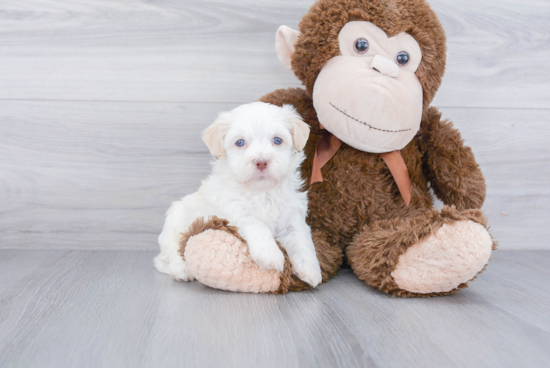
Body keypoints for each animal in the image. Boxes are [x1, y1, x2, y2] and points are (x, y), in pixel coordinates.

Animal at [153, 101, 324, 288]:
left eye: (277, 140)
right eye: (240, 142)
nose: (261, 161)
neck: (262, 192)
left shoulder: (291, 215)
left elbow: (301, 237)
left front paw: (311, 269)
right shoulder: (234, 210)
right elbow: (257, 224)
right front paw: (270, 255)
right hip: (176, 225)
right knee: (170, 255)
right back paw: (182, 270)